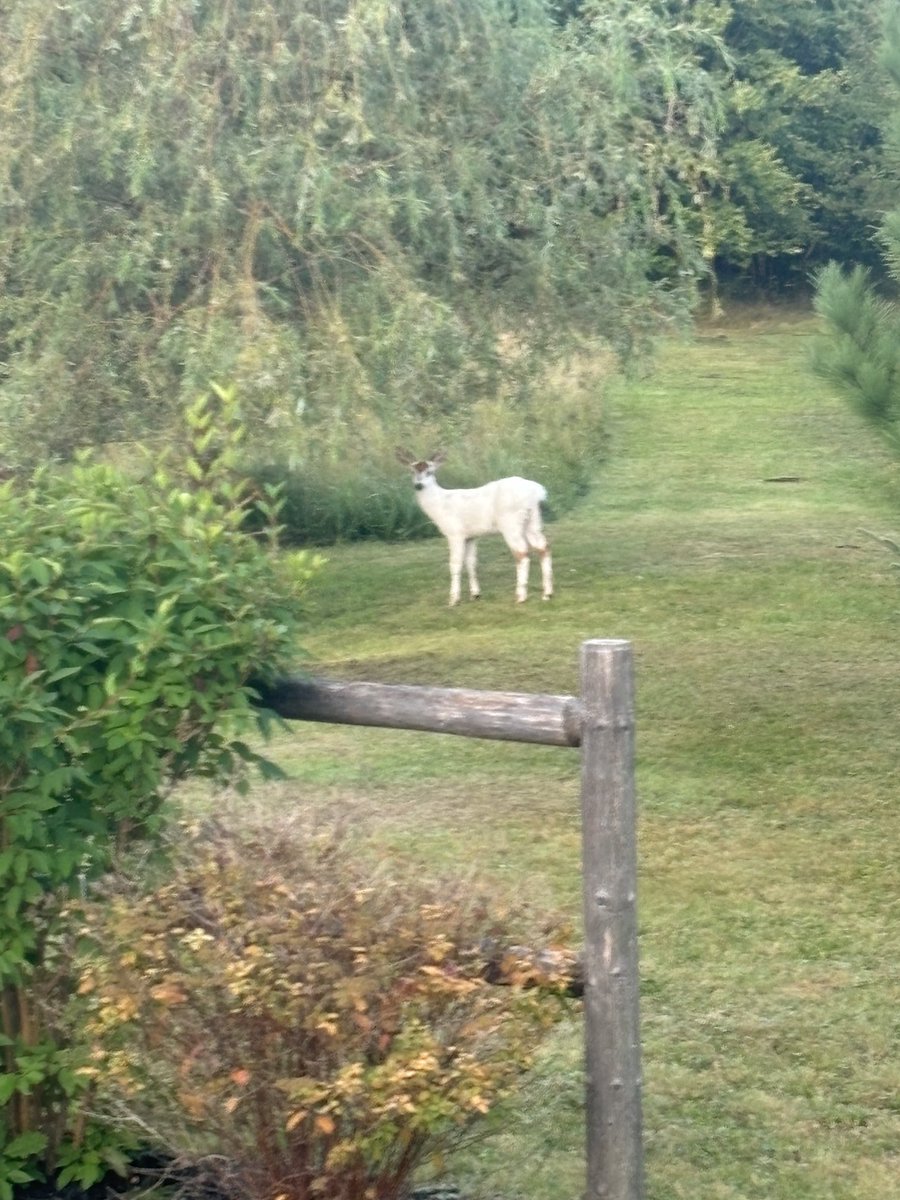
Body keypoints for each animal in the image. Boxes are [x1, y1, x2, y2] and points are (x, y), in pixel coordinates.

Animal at [396, 449, 554, 606]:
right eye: (412, 471)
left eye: (430, 471)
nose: (418, 485)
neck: (440, 506)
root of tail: (537, 491)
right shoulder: (470, 536)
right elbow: (471, 562)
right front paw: (476, 594)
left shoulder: (455, 532)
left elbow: (455, 563)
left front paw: (453, 600)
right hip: (533, 520)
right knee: (543, 547)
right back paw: (547, 593)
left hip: (511, 522)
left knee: (522, 553)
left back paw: (521, 596)